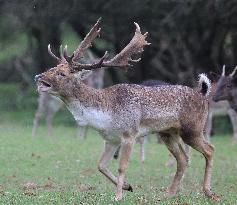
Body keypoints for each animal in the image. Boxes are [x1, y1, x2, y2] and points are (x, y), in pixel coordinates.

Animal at [33, 18, 218, 201]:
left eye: (62, 74)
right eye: (52, 68)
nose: (38, 76)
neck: (104, 116)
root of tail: (202, 95)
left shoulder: (129, 134)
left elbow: (121, 166)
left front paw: (118, 196)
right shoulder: (110, 139)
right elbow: (101, 165)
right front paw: (128, 187)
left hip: (192, 128)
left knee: (210, 150)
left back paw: (208, 192)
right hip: (168, 133)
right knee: (183, 159)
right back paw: (168, 194)